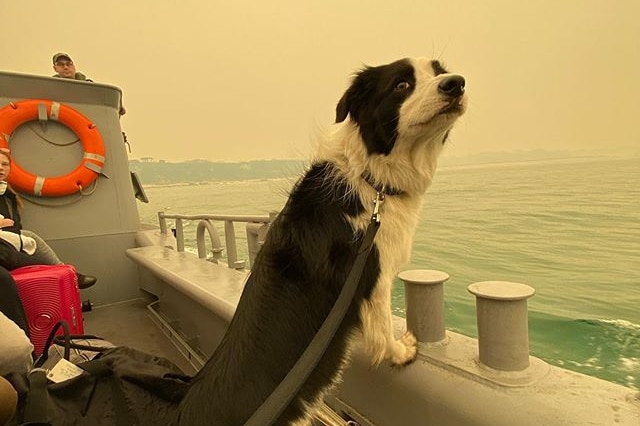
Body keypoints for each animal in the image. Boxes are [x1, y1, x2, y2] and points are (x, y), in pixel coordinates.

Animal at [178, 57, 468, 426]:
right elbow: (382, 326)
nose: (456, 83)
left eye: (439, 72)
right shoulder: (374, 274)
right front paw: (401, 352)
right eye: (402, 85)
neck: (371, 179)